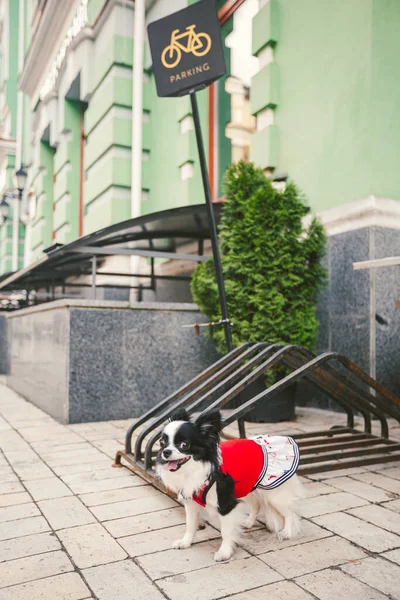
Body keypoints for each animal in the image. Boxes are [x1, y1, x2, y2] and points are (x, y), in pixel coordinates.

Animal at [155, 408, 304, 564]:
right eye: (162, 443)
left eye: (184, 445)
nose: (166, 452)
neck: (195, 468)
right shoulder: (191, 502)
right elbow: (190, 524)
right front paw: (185, 542)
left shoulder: (225, 503)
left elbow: (226, 532)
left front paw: (224, 553)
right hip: (247, 486)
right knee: (256, 505)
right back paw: (249, 522)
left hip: (274, 494)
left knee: (289, 512)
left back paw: (287, 532)